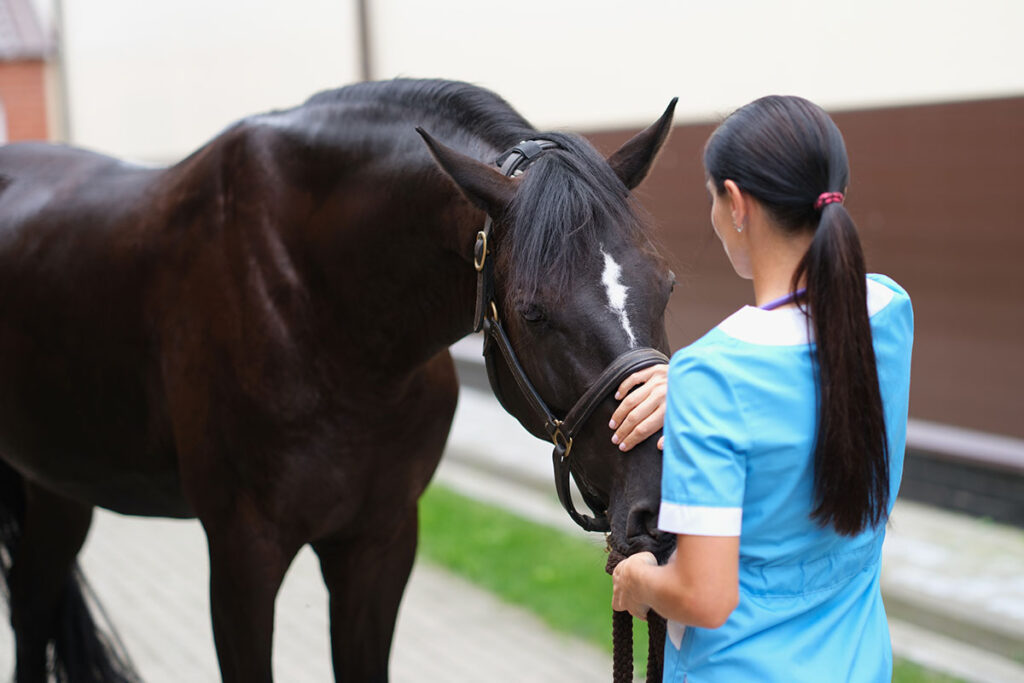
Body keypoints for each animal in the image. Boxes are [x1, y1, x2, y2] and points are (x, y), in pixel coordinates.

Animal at [0, 79, 676, 682]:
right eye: (533, 312)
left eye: (667, 284)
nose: (661, 503)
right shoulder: (243, 554)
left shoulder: (380, 542)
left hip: (60, 485)